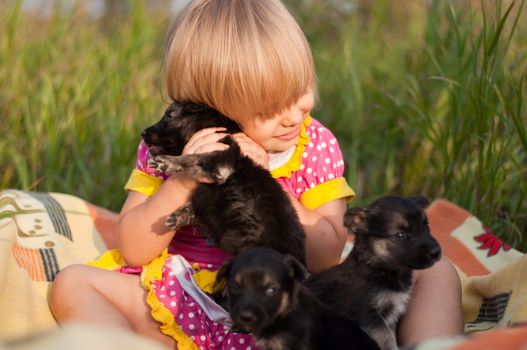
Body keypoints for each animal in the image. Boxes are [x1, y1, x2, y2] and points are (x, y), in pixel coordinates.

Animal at [142, 100, 308, 264]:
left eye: (169, 116)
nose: (142, 133)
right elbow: (195, 204)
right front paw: (180, 215)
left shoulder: (220, 162)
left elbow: (192, 157)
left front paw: (167, 162)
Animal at [308, 196, 444, 348]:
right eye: (401, 235)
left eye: (427, 226)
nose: (436, 252)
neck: (380, 268)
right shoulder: (367, 315)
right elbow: (387, 338)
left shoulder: (391, 313)